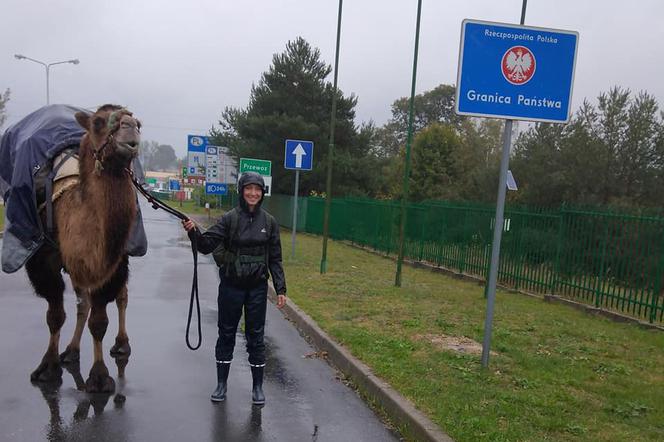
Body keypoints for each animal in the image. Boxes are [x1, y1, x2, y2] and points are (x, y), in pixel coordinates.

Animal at [24, 104, 140, 394]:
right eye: (98, 122)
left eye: (139, 123)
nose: (131, 126)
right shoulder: (44, 261)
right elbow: (56, 315)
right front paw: (47, 367)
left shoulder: (114, 262)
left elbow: (99, 321)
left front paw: (99, 377)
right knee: (82, 302)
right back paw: (70, 351)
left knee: (119, 297)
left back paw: (121, 344)